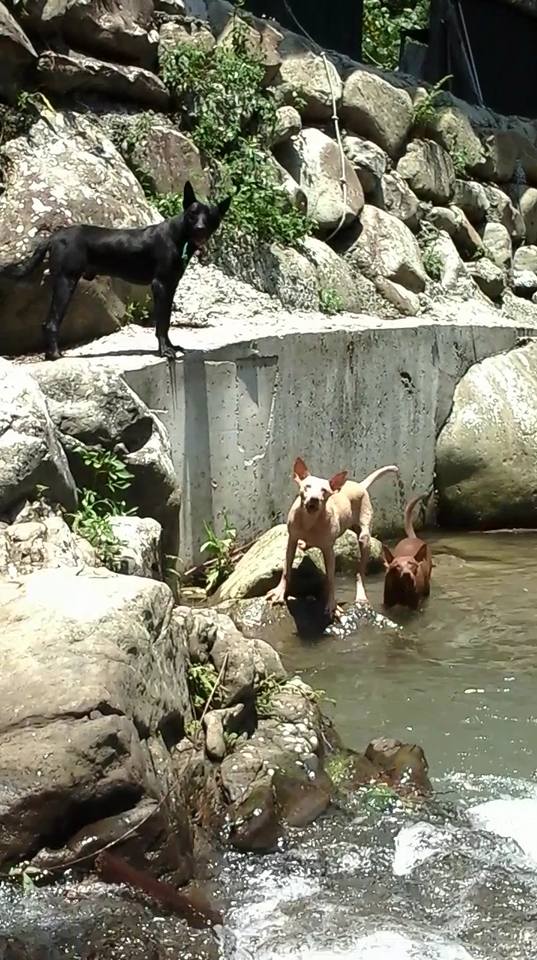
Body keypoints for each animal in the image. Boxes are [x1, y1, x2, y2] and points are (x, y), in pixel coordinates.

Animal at [0, 181, 231, 361]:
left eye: (210, 217)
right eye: (192, 214)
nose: (200, 229)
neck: (178, 236)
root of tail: (54, 237)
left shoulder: (170, 287)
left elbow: (166, 321)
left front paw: (171, 347)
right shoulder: (160, 286)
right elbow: (162, 323)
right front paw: (165, 351)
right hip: (67, 281)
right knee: (51, 323)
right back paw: (54, 355)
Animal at [267, 457, 399, 619]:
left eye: (324, 491)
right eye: (307, 486)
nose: (314, 499)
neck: (310, 521)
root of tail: (360, 485)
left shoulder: (328, 550)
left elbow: (330, 579)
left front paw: (331, 605)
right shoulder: (292, 540)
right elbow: (286, 570)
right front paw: (279, 593)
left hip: (364, 536)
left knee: (360, 572)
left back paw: (361, 595)